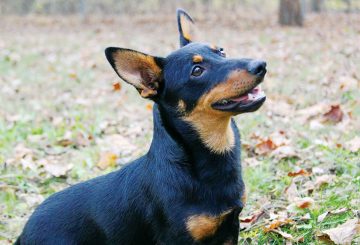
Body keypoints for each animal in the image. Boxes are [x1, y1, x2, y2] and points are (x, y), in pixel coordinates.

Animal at [15, 8, 266, 244]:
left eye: (221, 51)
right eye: (197, 71)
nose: (261, 65)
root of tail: (22, 235)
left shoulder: (230, 227)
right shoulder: (177, 238)